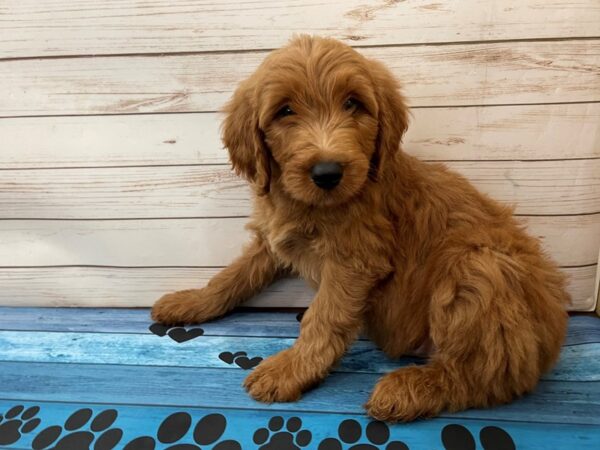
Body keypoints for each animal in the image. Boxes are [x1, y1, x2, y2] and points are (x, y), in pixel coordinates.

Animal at [152, 35, 568, 422]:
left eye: (353, 103)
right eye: (285, 111)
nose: (328, 173)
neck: (311, 205)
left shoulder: (356, 259)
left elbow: (325, 318)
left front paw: (291, 369)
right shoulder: (273, 239)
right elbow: (233, 276)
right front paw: (192, 301)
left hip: (482, 266)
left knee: (487, 376)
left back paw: (409, 388)